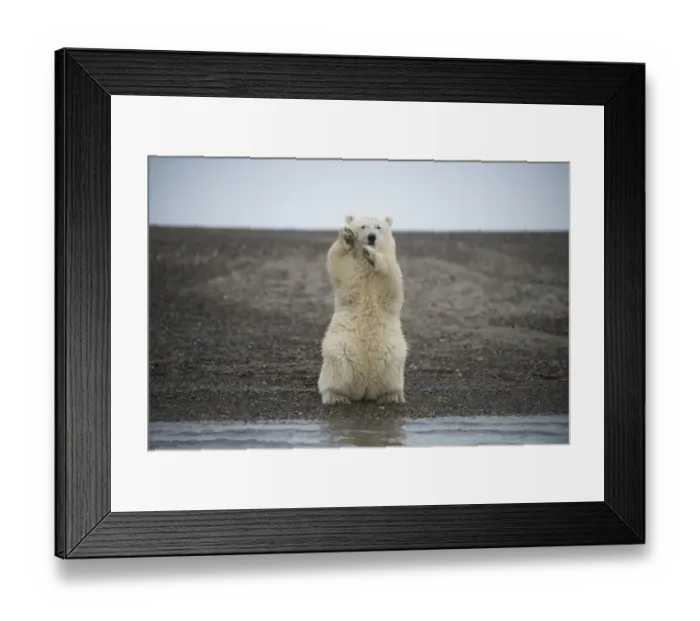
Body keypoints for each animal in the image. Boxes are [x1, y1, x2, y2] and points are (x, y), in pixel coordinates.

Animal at [318, 214, 408, 405]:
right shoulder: (353, 275)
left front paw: (372, 254)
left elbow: (391, 278)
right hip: (340, 348)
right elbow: (339, 260)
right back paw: (336, 397)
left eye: (378, 227)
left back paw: (392, 396)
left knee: (392, 371)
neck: (367, 269)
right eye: (363, 226)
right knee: (336, 370)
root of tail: (365, 388)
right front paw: (346, 237)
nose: (371, 237)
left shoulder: (389, 271)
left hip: (393, 355)